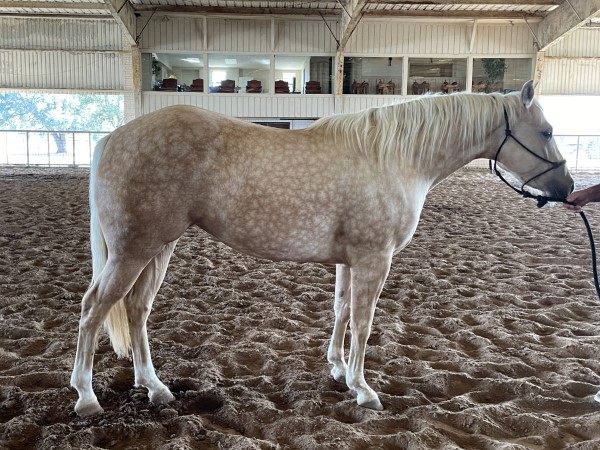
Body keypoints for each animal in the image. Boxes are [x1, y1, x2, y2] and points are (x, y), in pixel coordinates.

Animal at [70, 81, 572, 414]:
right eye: (547, 132)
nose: (567, 187)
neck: (395, 158)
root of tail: (114, 136)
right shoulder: (374, 259)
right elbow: (364, 324)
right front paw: (364, 389)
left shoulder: (351, 261)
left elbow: (342, 311)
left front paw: (338, 370)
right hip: (134, 250)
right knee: (94, 308)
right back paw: (87, 397)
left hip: (159, 247)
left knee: (136, 309)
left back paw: (154, 387)